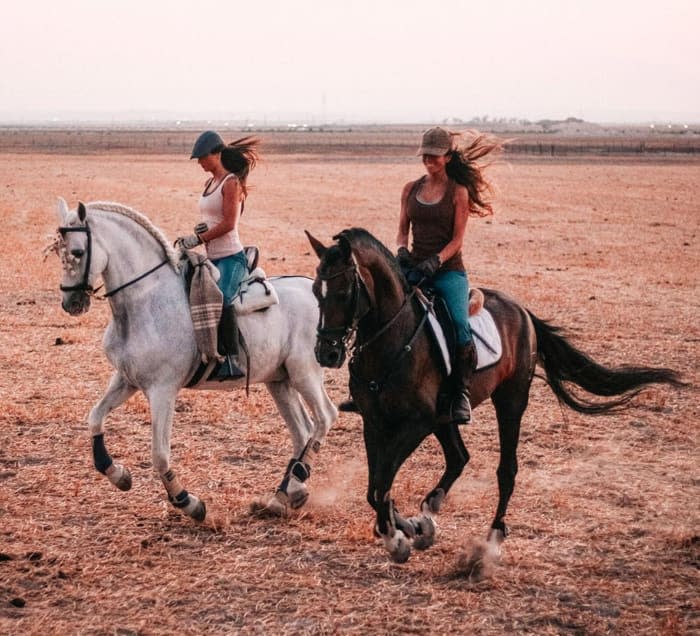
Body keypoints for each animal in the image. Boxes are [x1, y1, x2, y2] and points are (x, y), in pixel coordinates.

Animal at [51, 199, 336, 520]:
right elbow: (95, 418)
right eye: (58, 251)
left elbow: (160, 455)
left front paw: (189, 503)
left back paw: (294, 486)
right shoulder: (126, 380)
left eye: (78, 252)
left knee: (325, 418)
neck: (145, 302)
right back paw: (284, 496)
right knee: (303, 431)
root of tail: (313, 290)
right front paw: (119, 475)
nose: (71, 303)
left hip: (304, 372)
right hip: (279, 380)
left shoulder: (162, 391)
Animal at [304, 227, 680, 560]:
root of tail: (522, 311)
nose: (327, 353)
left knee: (506, 469)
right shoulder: (375, 421)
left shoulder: (416, 424)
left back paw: (492, 539)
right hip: (445, 417)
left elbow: (382, 484)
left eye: (343, 293)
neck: (391, 339)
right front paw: (405, 528)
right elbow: (375, 487)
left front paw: (396, 539)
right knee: (459, 457)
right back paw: (428, 513)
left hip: (509, 402)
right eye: (316, 294)